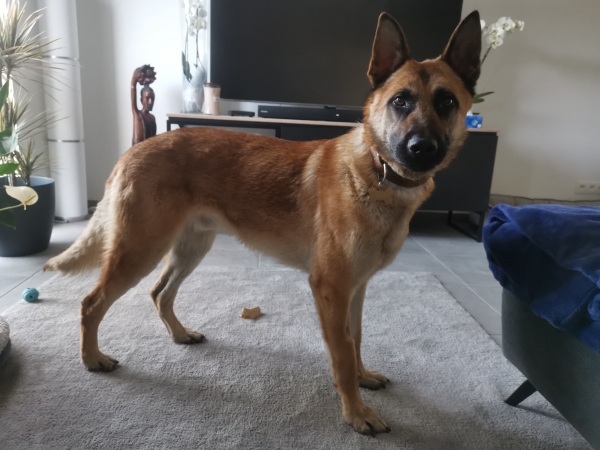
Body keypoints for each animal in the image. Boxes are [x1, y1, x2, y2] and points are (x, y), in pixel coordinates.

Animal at [44, 11, 481, 435]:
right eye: (400, 101)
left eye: (446, 101)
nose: (422, 149)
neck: (378, 175)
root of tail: (133, 150)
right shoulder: (331, 289)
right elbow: (341, 353)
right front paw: (356, 413)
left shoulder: (356, 288)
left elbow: (355, 339)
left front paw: (363, 378)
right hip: (141, 249)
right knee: (91, 303)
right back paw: (93, 359)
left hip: (190, 248)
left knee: (159, 293)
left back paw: (179, 334)